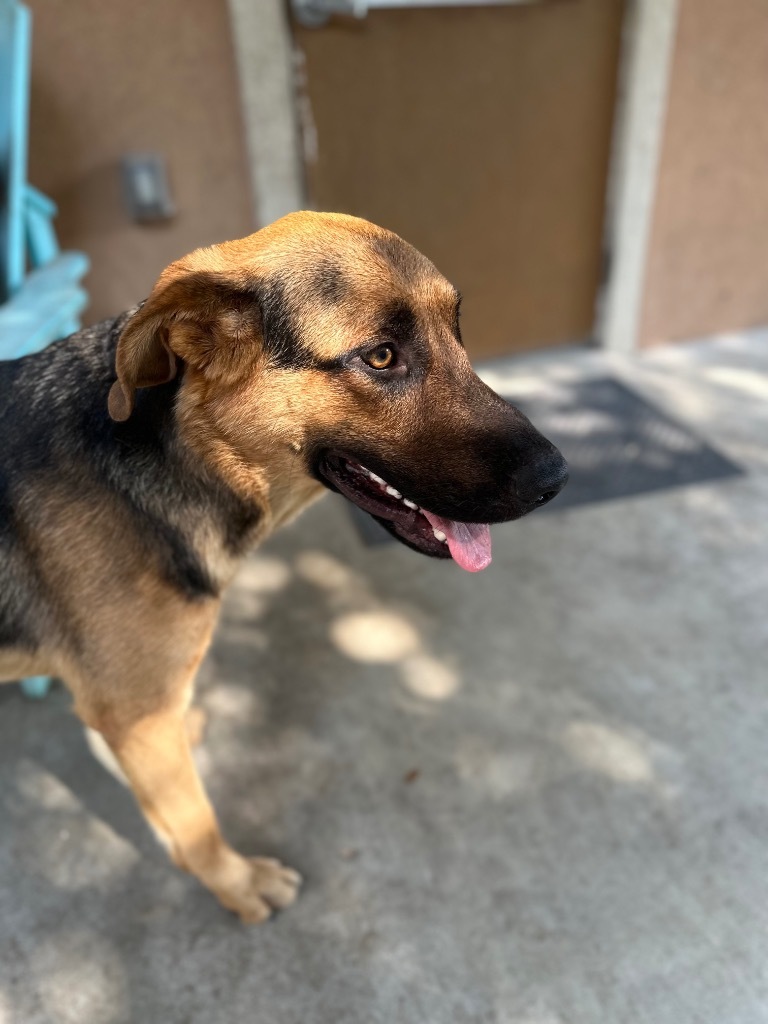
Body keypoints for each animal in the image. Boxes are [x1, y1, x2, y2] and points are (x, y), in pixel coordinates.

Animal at [0, 209, 565, 921]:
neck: (184, 450)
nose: (558, 479)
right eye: (381, 357)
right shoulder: (135, 710)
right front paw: (237, 884)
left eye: (457, 330)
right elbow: (194, 823)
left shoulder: (130, 710)